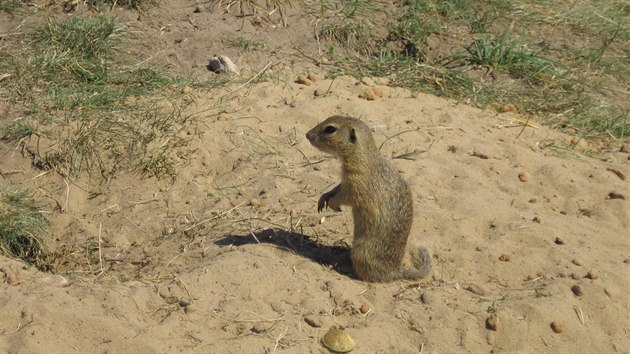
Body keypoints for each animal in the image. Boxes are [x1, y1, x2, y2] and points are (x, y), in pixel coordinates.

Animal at [308, 116, 434, 282]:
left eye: (330, 129)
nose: (307, 135)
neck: (363, 156)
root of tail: (395, 271)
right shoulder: (346, 181)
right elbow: (337, 188)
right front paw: (324, 197)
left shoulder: (355, 185)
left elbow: (345, 196)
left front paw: (334, 204)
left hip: (360, 252)